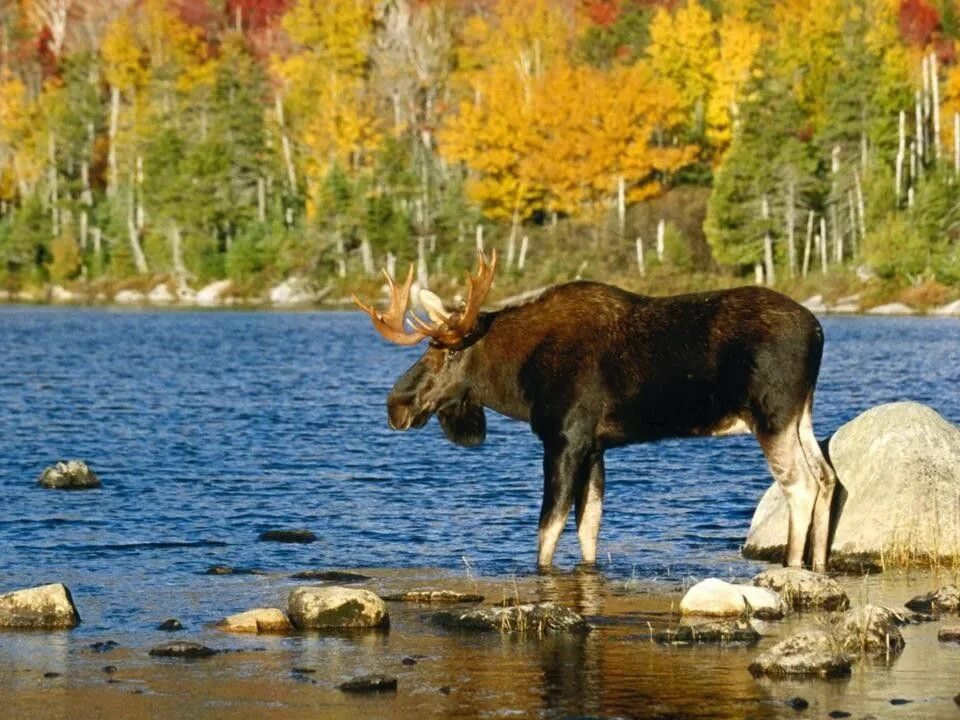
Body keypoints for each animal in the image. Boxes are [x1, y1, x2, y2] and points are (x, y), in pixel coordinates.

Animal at [354, 253, 840, 572]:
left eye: (446, 352)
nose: (395, 405)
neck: (518, 379)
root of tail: (819, 331)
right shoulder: (595, 446)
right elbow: (589, 527)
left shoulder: (564, 438)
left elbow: (547, 529)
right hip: (801, 415)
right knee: (827, 477)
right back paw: (818, 567)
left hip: (772, 415)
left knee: (799, 484)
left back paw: (793, 569)